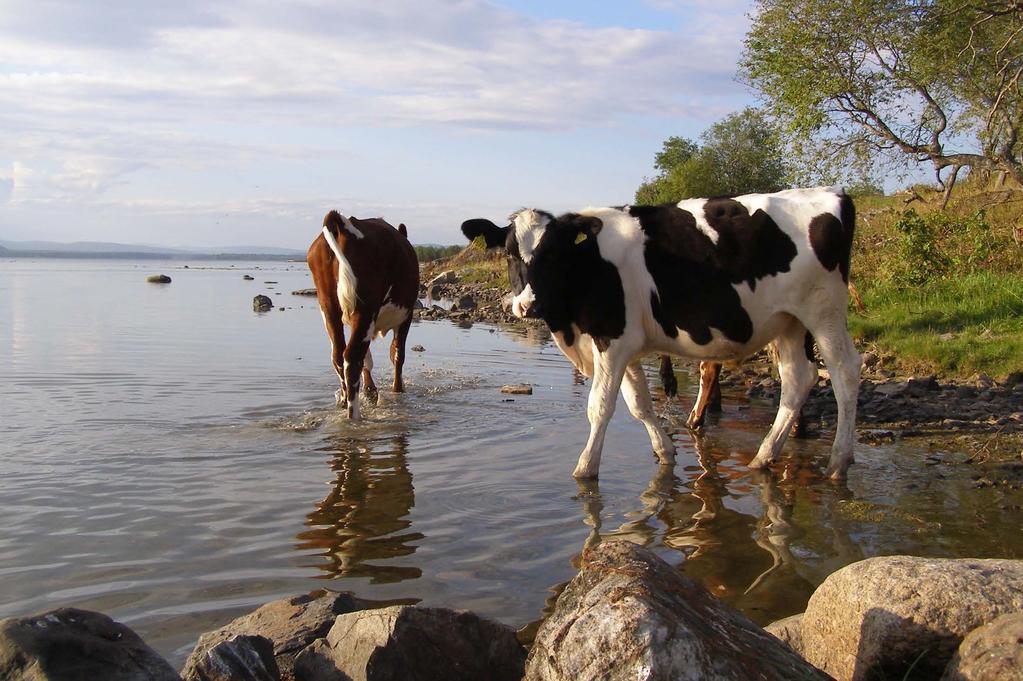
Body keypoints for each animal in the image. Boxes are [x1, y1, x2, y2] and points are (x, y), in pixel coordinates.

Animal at [304, 209, 417, 417]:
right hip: (365, 309)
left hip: (329, 307)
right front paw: (397, 390)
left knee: (339, 355)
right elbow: (398, 355)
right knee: (353, 356)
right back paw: (353, 415)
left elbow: (369, 360)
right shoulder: (407, 316)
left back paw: (343, 401)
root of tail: (343, 223)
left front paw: (371, 391)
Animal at [462, 187, 855, 476]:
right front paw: (664, 451)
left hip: (824, 311)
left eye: (555, 254)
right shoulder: (623, 344)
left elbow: (600, 407)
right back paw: (765, 456)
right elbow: (639, 404)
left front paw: (585, 469)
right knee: (798, 379)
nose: (528, 306)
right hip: (789, 321)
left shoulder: (611, 339)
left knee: (844, 373)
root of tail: (832, 193)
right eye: (510, 253)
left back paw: (839, 461)